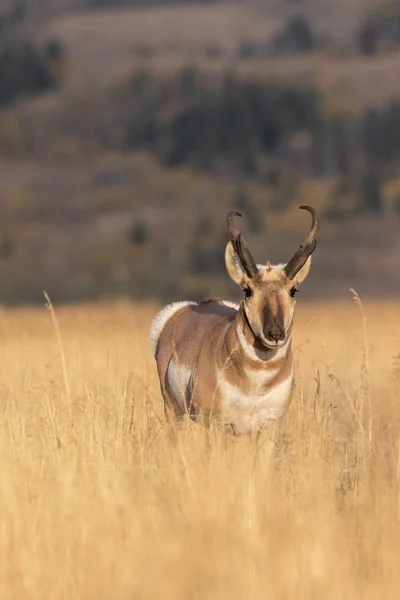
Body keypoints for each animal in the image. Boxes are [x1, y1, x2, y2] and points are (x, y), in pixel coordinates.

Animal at [150, 206, 318, 436]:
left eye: (293, 290)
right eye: (247, 290)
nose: (275, 334)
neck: (257, 382)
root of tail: (178, 313)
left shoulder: (267, 428)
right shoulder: (217, 425)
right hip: (173, 410)